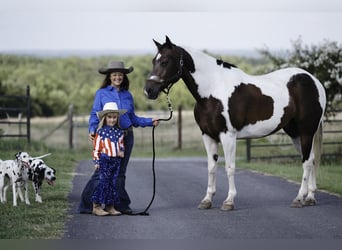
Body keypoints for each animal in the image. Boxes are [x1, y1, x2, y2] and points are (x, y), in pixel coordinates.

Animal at [144, 36, 326, 210]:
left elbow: (230, 167)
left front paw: (229, 201)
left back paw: (299, 198)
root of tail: (314, 81)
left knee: (307, 162)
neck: (213, 90)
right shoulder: (208, 136)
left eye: (165, 61)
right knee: (311, 159)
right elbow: (211, 167)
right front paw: (207, 200)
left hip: (306, 132)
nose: (148, 90)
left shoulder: (228, 136)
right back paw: (310, 197)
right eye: (153, 61)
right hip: (295, 133)